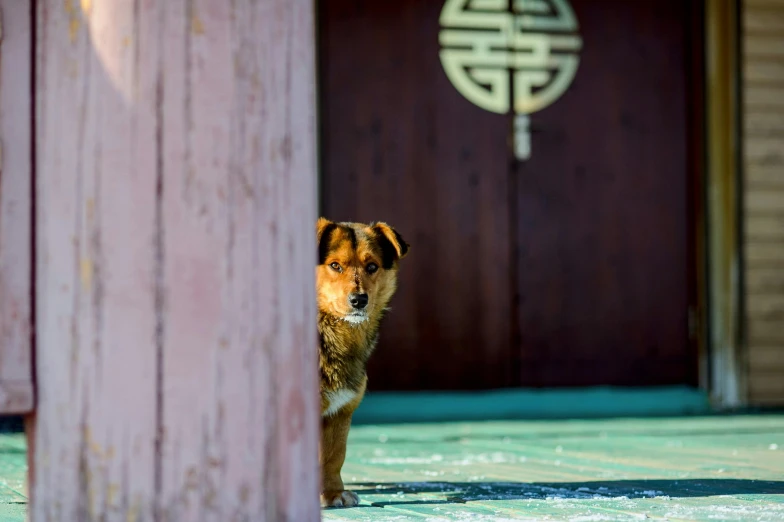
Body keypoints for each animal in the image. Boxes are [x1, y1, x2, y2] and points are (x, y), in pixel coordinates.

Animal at [316, 217, 410, 506]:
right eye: (335, 265)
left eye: (372, 267)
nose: (359, 300)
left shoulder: (341, 411)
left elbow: (334, 457)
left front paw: (332, 493)